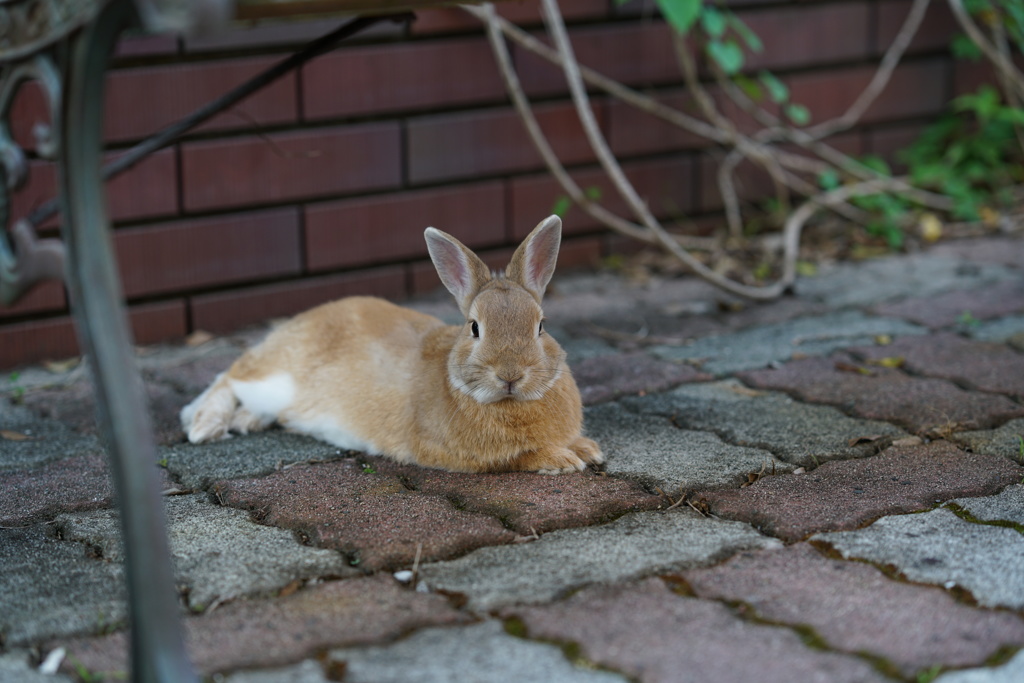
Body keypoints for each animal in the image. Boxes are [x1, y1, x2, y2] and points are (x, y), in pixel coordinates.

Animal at [180, 216, 602, 473]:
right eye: (474, 328)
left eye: (541, 327)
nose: (511, 375)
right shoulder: (460, 454)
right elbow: (517, 458)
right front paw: (563, 458)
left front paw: (587, 449)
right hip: (273, 378)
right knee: (228, 377)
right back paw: (206, 425)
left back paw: (244, 421)